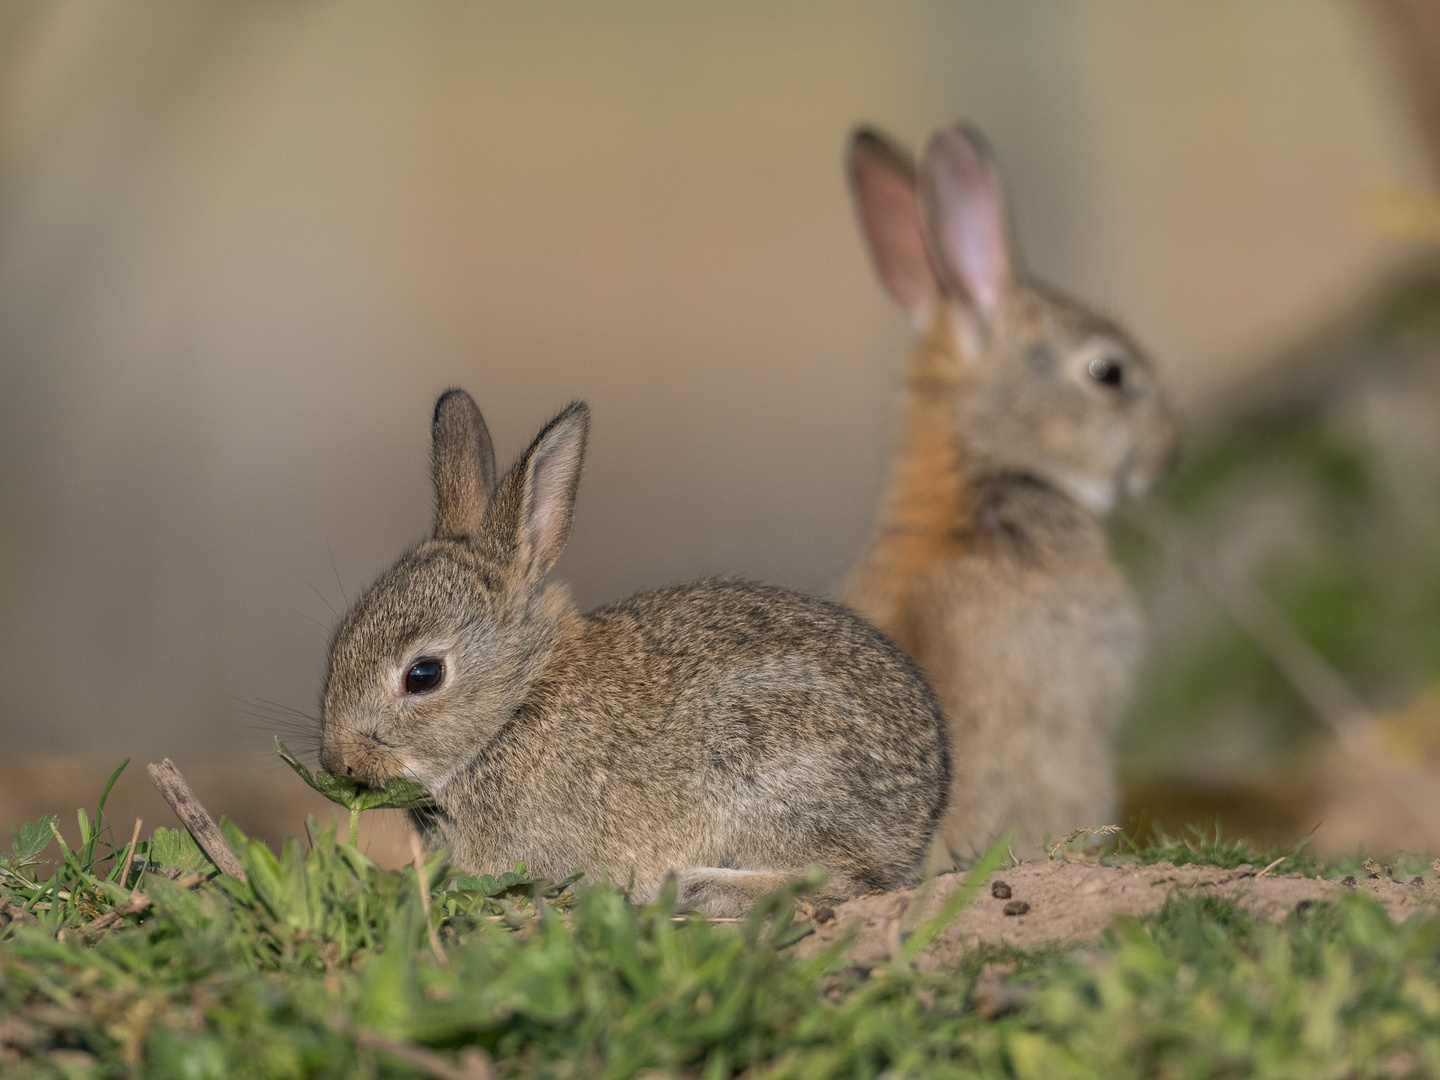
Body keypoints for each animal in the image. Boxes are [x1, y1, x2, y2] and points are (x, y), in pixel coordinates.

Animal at [321, 388, 950, 915]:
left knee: (848, 876)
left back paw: (704, 888)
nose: (338, 762)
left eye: (423, 675)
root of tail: (923, 814)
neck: (514, 708)